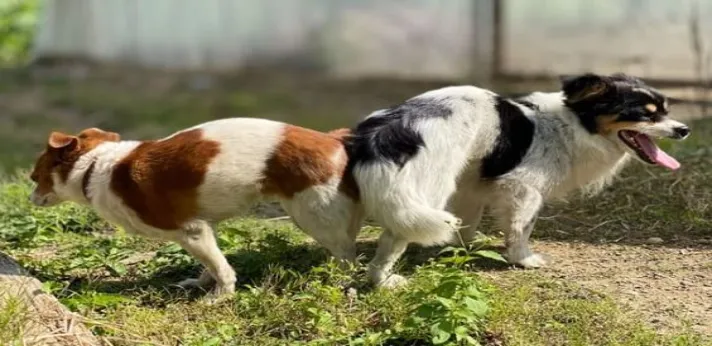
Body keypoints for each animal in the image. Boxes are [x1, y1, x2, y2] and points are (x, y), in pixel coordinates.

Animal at [29, 118, 362, 294]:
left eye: (34, 177)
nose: (29, 199)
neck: (94, 167)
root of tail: (334, 140)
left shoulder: (191, 230)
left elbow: (221, 267)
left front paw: (220, 296)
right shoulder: (203, 228)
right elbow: (211, 263)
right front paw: (202, 282)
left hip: (311, 213)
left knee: (347, 253)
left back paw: (338, 280)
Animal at [348, 73, 692, 286]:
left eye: (665, 111)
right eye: (645, 114)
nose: (684, 129)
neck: (571, 126)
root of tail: (396, 126)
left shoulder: (472, 183)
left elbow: (468, 223)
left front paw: (463, 249)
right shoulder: (524, 188)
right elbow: (521, 229)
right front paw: (522, 259)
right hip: (425, 193)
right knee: (394, 236)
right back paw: (382, 281)